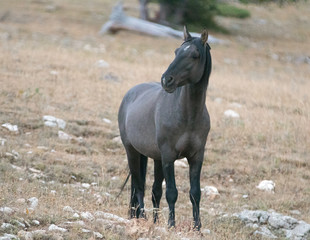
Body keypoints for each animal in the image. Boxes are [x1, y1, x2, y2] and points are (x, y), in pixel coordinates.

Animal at [117, 26, 212, 231]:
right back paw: (142, 217)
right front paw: (171, 225)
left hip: (155, 158)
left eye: (194, 55)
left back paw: (153, 220)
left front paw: (197, 228)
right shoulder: (169, 156)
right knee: (138, 186)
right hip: (132, 152)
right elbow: (171, 192)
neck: (187, 115)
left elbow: (195, 193)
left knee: (153, 191)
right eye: (176, 51)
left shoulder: (196, 156)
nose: (166, 80)